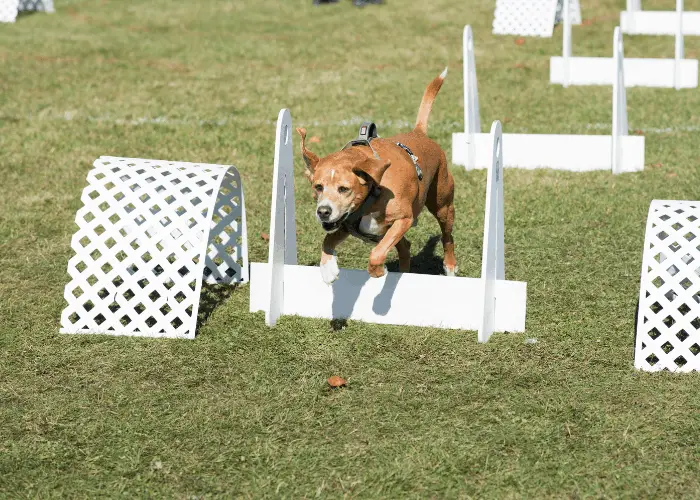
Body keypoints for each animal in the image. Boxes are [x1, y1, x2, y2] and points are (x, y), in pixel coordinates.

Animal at [296, 68, 456, 284]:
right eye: (318, 187)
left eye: (344, 189)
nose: (323, 211)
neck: (374, 191)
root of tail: (419, 133)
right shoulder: (346, 226)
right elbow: (327, 240)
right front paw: (328, 269)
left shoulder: (403, 219)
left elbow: (376, 253)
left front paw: (379, 272)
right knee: (405, 247)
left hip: (443, 206)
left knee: (447, 237)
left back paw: (450, 267)